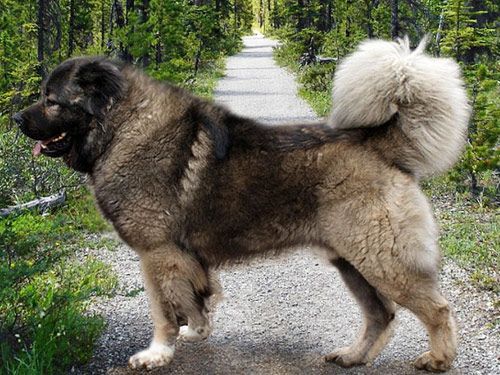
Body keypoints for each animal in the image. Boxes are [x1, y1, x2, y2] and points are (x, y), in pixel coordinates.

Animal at [14, 39, 468, 374]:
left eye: (52, 101)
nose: (17, 119)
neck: (122, 127)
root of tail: (378, 141)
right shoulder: (184, 257)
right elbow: (196, 299)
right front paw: (196, 330)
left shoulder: (157, 253)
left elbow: (162, 310)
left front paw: (157, 353)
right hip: (352, 262)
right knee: (381, 316)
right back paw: (352, 356)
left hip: (381, 258)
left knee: (437, 309)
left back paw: (438, 359)